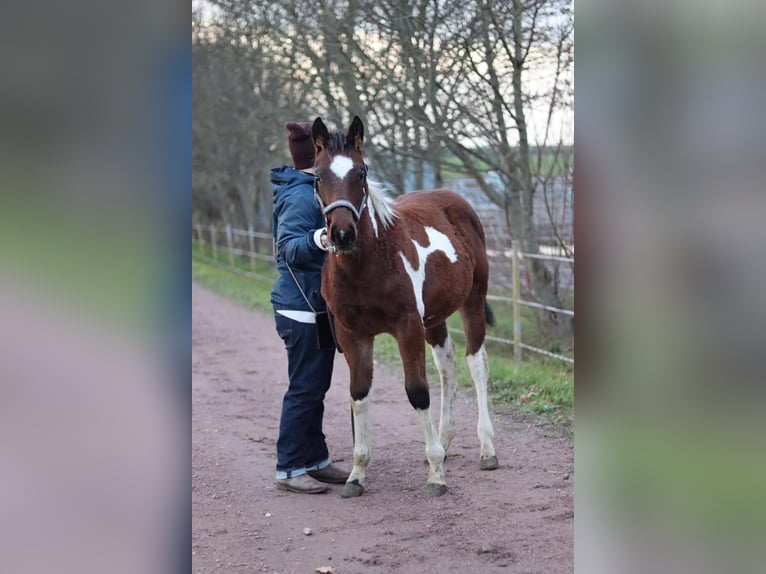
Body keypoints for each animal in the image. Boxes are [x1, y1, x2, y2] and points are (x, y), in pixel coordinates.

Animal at [310, 115, 498, 498]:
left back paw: (486, 449)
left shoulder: (407, 325)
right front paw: (356, 475)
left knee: (476, 363)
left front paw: (436, 475)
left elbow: (417, 391)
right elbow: (358, 393)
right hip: (435, 318)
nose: (342, 235)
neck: (369, 265)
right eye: (318, 176)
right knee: (448, 364)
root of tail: (455, 201)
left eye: (362, 172)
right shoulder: (352, 334)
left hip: (472, 302)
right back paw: (444, 440)